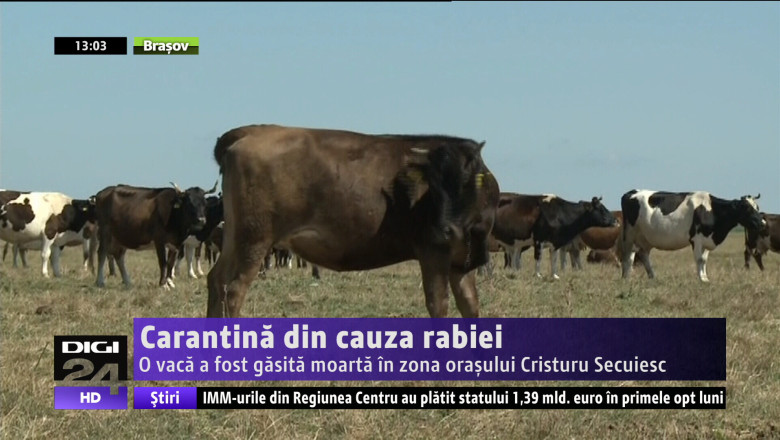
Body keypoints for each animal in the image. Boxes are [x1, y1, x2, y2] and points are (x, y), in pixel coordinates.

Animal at [207, 124, 499, 318]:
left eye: (465, 182)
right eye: (434, 188)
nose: (446, 230)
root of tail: (255, 131)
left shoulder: (462, 260)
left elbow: (470, 305)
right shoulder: (432, 251)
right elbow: (438, 304)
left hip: (234, 237)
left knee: (216, 280)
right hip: (254, 239)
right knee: (234, 290)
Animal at [620, 190, 764, 282]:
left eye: (757, 207)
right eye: (747, 208)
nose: (763, 223)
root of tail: (631, 192)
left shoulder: (707, 239)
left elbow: (704, 260)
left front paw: (705, 277)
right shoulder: (697, 238)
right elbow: (699, 259)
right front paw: (701, 279)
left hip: (645, 238)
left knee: (642, 254)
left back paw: (652, 276)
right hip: (629, 234)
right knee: (628, 255)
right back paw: (626, 277)